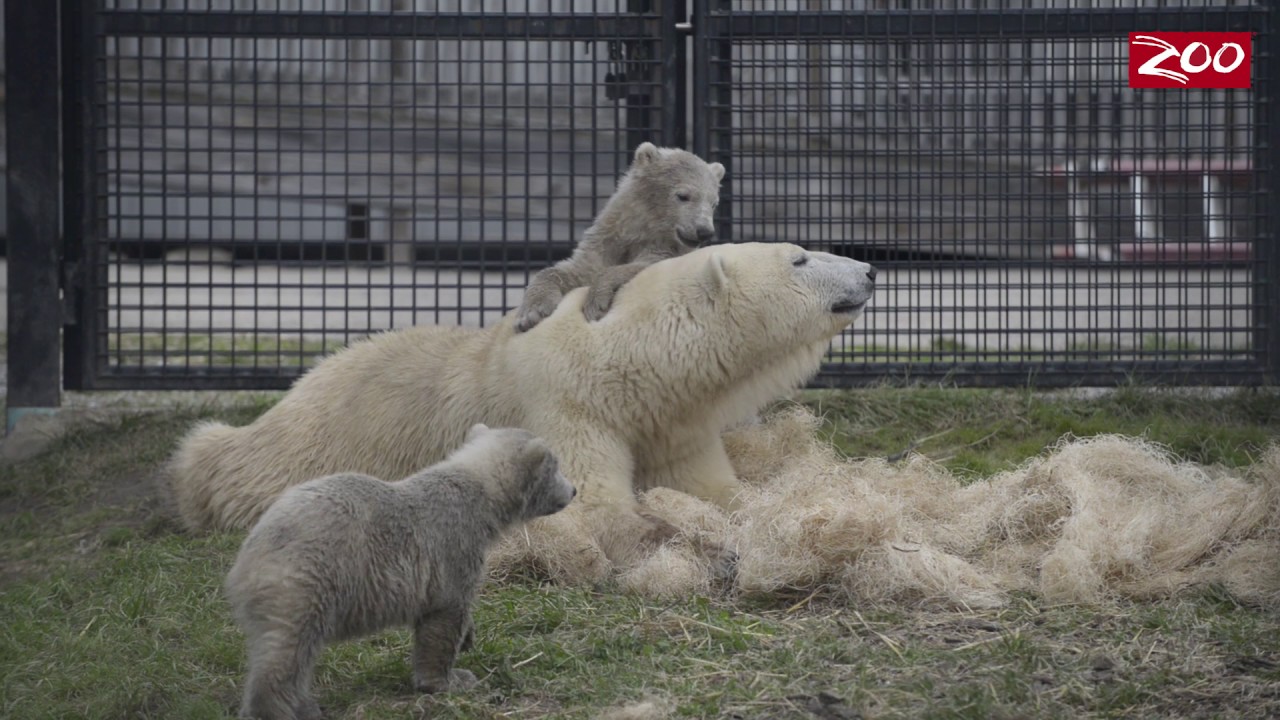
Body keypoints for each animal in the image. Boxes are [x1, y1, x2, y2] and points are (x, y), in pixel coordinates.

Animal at [168, 242, 877, 578]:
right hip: (311, 441)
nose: (871, 270)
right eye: (800, 257)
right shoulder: (565, 404)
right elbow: (596, 504)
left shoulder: (672, 420)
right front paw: (705, 550)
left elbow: (714, 486)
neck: (630, 364)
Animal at [224, 423, 576, 720]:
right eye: (557, 466)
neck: (474, 488)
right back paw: (286, 709)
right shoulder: (454, 545)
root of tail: (250, 554)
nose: (573, 490)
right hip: (307, 577)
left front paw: (469, 638)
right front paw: (451, 680)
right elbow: (444, 616)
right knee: (288, 649)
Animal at [512, 141, 726, 333]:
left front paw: (595, 304)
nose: (704, 231)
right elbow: (575, 270)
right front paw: (531, 314)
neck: (641, 230)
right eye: (683, 196)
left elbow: (643, 265)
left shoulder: (663, 247)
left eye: (714, 203)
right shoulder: (604, 241)